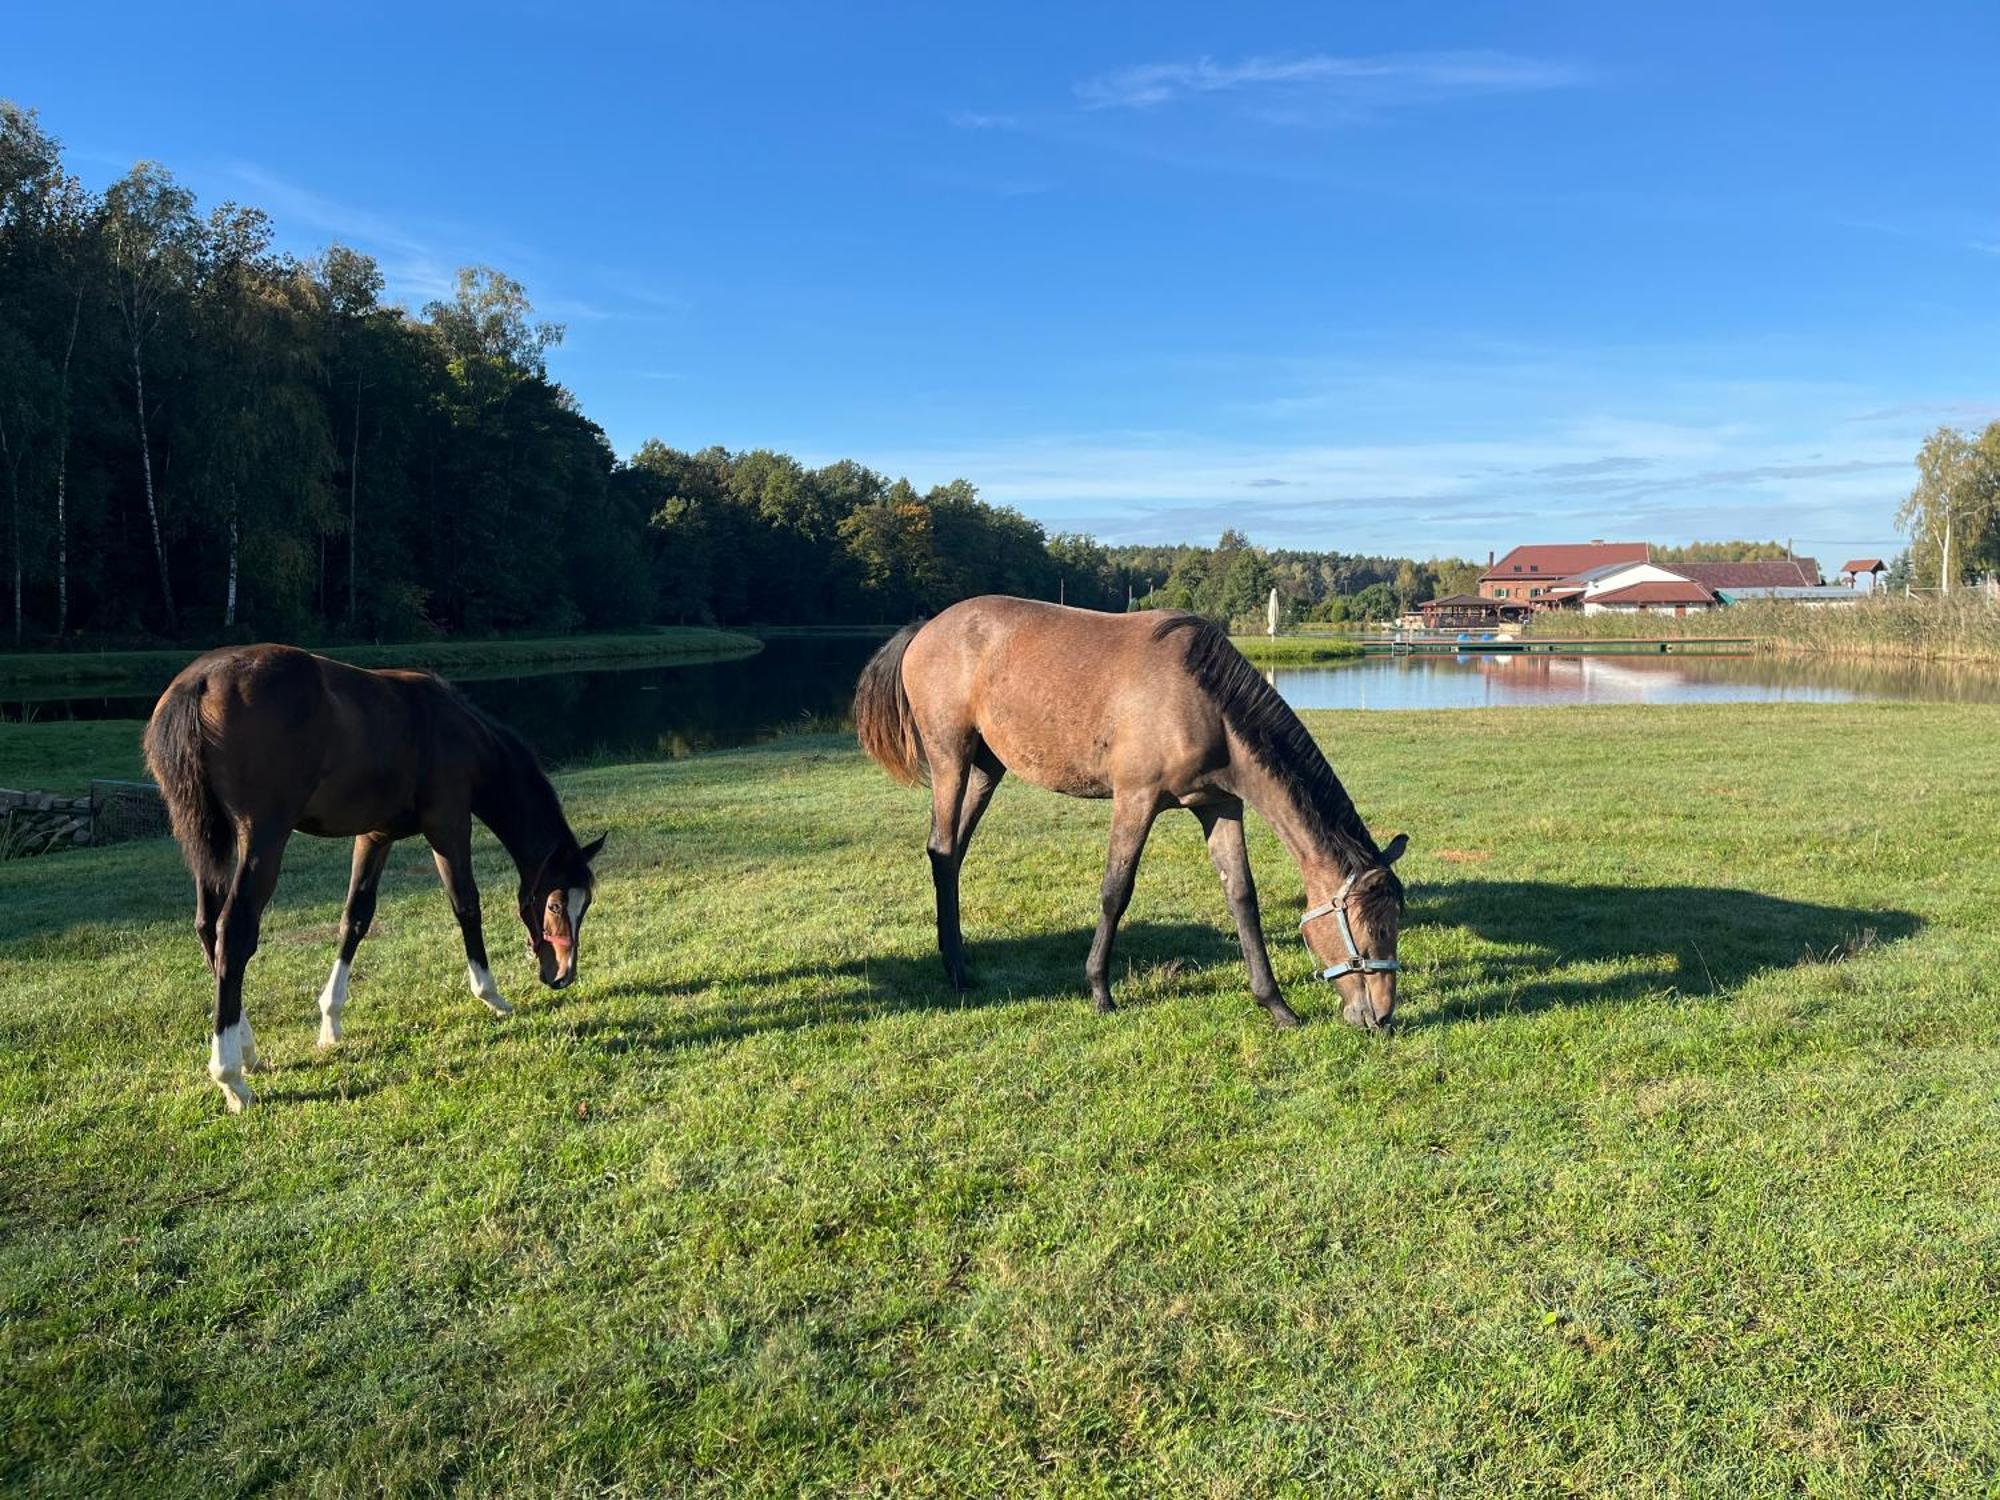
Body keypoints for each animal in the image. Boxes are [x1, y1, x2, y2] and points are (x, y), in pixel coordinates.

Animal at [146, 648, 604, 1120]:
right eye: (555, 905)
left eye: (584, 905)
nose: (563, 974)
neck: (456, 730)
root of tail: (199, 682)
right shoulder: (448, 827)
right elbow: (466, 904)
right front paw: (491, 996)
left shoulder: (375, 836)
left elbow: (356, 919)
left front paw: (330, 1021)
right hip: (262, 840)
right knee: (233, 933)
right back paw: (231, 1077)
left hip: (209, 841)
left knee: (209, 929)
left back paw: (247, 1047)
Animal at [856, 600, 1408, 1032]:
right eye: (1366, 932)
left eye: (1395, 925)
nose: (1381, 1016)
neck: (1204, 702)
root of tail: (926, 626)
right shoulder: (1135, 800)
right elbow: (1115, 892)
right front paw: (1100, 991)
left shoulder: (1220, 805)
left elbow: (1242, 898)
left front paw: (1276, 1004)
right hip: (950, 756)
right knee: (942, 849)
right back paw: (955, 971)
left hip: (986, 768)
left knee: (953, 856)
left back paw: (960, 959)